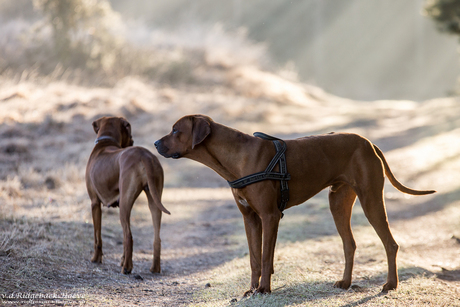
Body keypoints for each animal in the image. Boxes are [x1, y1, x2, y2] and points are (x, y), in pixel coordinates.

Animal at [85, 116, 170, 276]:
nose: (132, 141)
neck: (106, 142)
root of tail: (145, 156)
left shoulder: (94, 203)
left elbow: (97, 236)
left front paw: (96, 259)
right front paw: (122, 259)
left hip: (124, 204)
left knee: (128, 236)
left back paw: (127, 268)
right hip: (154, 199)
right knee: (156, 237)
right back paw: (154, 268)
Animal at [155, 115, 434, 296]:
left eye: (175, 130)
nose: (156, 144)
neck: (236, 157)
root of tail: (368, 142)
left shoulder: (270, 216)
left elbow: (265, 256)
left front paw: (264, 289)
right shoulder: (250, 218)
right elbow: (254, 258)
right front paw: (252, 289)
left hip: (371, 199)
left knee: (390, 243)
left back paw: (391, 285)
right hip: (338, 202)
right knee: (349, 244)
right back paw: (345, 282)